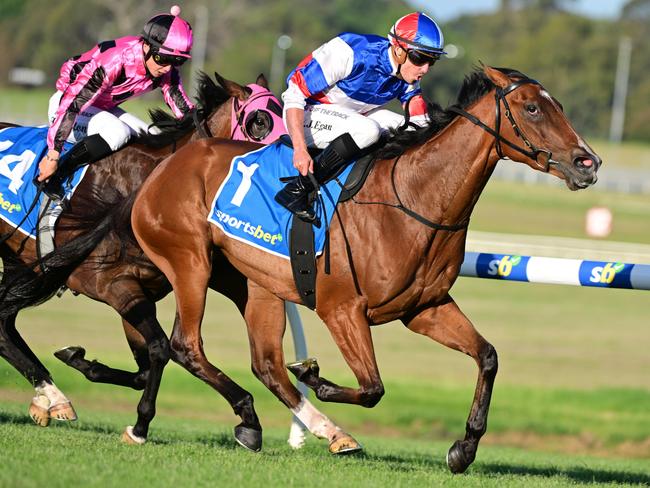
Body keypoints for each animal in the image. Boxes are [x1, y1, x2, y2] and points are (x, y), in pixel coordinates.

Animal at [0, 70, 280, 448]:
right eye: (260, 120)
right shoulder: (111, 284)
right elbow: (161, 348)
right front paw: (141, 424)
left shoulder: (139, 290)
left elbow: (146, 365)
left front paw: (79, 359)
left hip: (16, 261)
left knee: (4, 325)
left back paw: (52, 397)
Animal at [129, 66, 600, 470]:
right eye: (532, 107)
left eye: (557, 104)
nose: (588, 163)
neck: (413, 197)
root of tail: (170, 162)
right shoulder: (342, 309)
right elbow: (374, 387)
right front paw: (316, 376)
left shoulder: (425, 308)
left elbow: (488, 357)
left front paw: (464, 448)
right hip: (191, 263)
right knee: (187, 345)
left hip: (256, 285)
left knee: (266, 364)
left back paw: (293, 428)